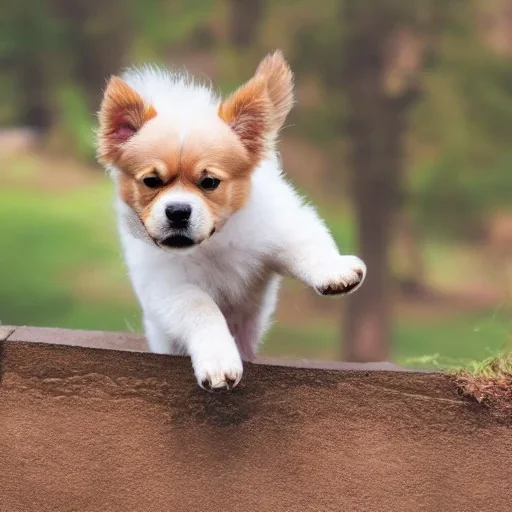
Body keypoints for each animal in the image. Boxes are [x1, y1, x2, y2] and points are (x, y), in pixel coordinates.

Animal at [96, 50, 366, 390]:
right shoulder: (169, 286)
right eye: (151, 182)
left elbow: (305, 246)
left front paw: (335, 272)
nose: (177, 211)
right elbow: (203, 310)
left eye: (209, 182)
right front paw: (218, 361)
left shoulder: (277, 225)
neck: (214, 243)